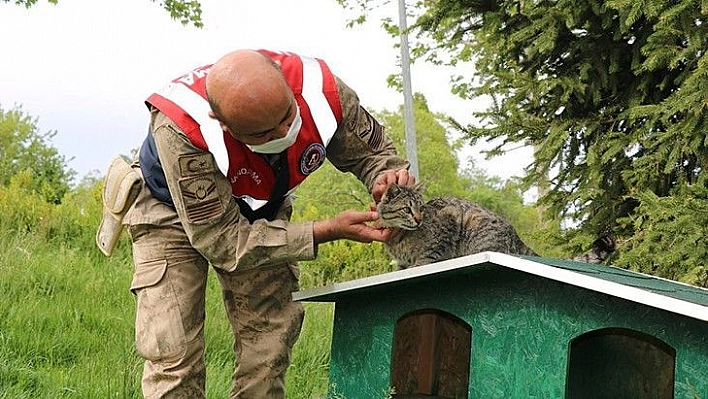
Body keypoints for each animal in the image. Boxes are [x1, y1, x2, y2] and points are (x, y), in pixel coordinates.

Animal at [376, 183, 536, 270]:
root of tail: (514, 233)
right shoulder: (401, 262)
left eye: (421, 208)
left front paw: (417, 264)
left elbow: (428, 255)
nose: (419, 220)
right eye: (407, 209)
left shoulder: (449, 218)